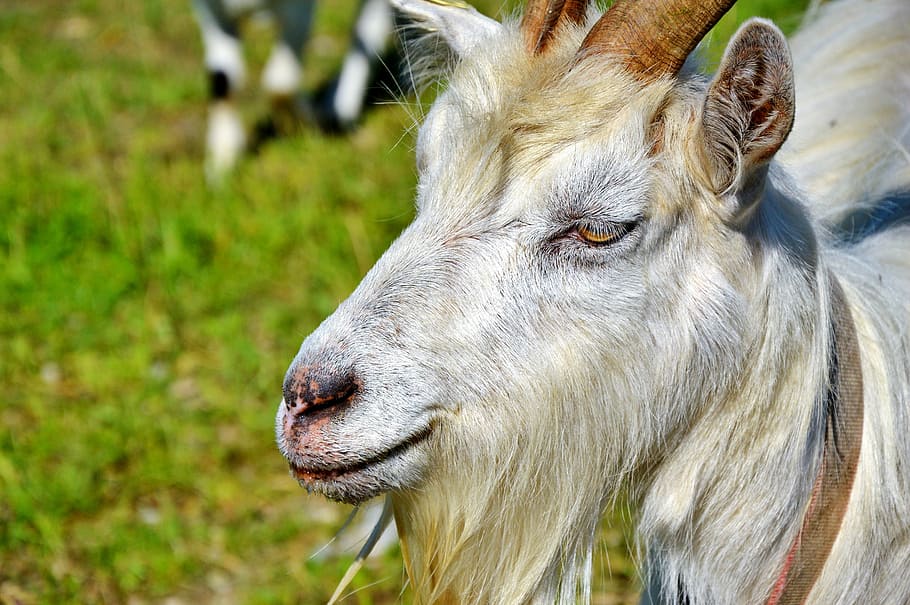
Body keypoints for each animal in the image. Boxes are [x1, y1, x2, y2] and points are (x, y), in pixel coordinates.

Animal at [192, 0, 394, 181]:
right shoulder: (211, 12)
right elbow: (221, 79)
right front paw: (220, 166)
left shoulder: (299, 9)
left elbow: (280, 84)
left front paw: (312, 121)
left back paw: (336, 111)